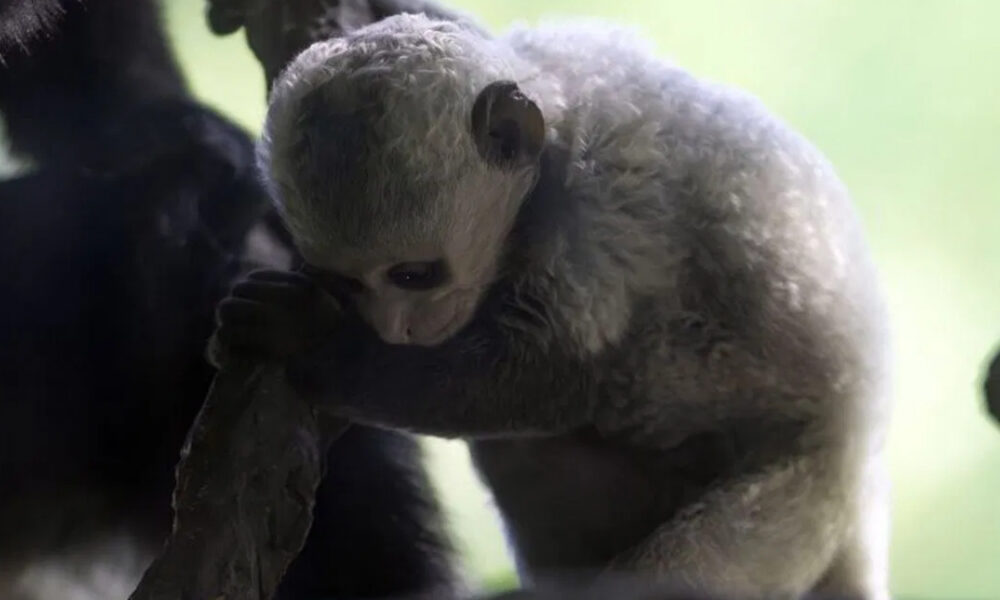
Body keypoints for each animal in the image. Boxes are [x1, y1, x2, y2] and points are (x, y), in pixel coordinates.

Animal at [210, 12, 892, 600]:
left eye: (414, 275)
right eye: (347, 282)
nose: (396, 331)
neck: (555, 135)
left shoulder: (599, 216)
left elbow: (559, 373)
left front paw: (314, 341)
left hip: (802, 494)